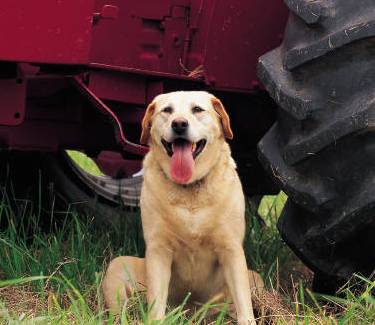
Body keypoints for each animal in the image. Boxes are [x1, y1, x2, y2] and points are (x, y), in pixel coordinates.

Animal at [101, 91, 262, 324]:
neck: (189, 189)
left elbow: (244, 304)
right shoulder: (159, 251)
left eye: (197, 109)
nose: (179, 124)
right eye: (167, 110)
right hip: (117, 267)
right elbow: (156, 303)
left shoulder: (231, 250)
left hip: (255, 279)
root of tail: (190, 314)